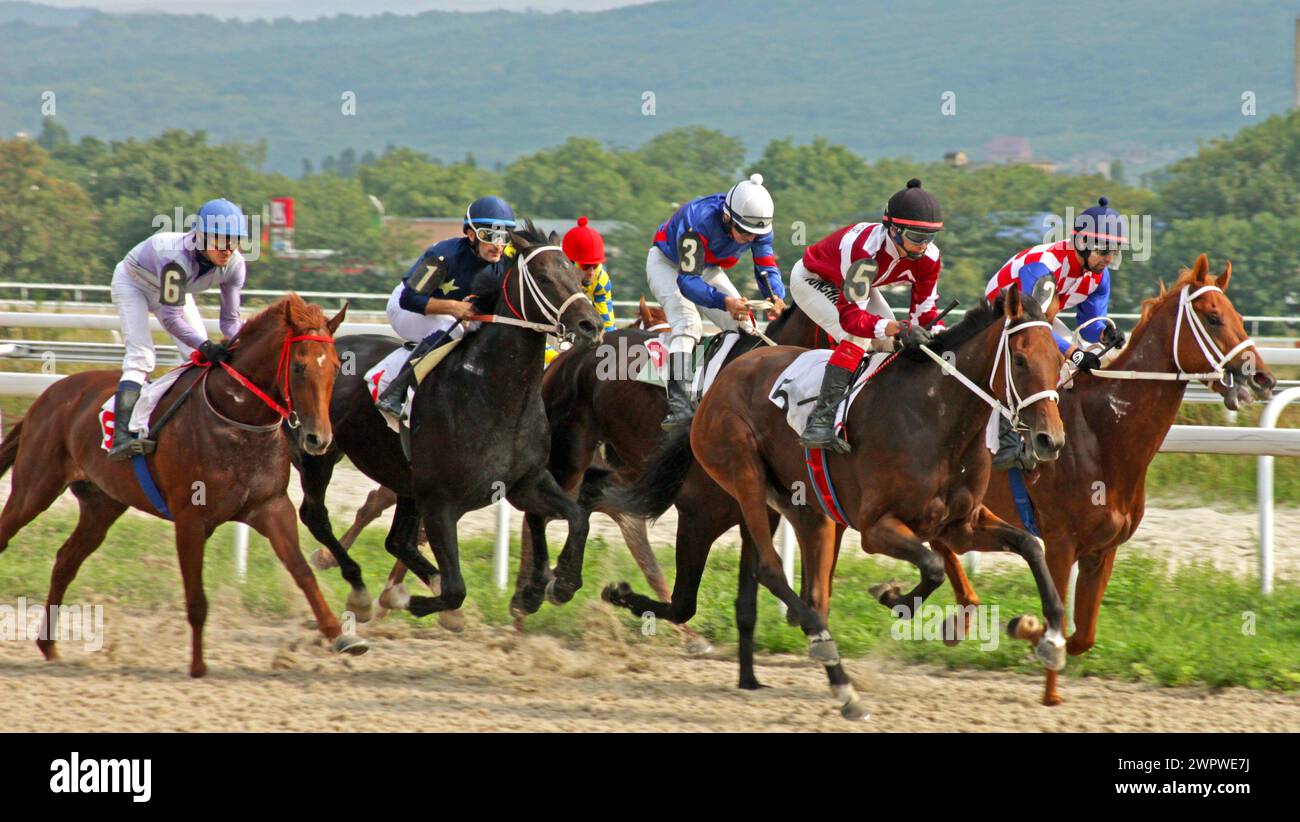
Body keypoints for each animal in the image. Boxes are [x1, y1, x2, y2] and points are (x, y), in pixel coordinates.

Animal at [0, 293, 361, 676]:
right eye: (298, 367)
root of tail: (48, 396)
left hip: (102, 505)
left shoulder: (271, 506)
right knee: (10, 531)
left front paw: (341, 635)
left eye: (335, 366)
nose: (318, 438)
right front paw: (198, 665)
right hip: (35, 487)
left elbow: (303, 571)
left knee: (66, 560)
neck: (236, 420)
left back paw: (49, 646)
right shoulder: (190, 519)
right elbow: (196, 598)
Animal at [600, 290, 1066, 717]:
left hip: (806, 510)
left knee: (792, 592)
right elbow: (933, 566)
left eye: (1060, 361)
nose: (1050, 440)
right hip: (740, 475)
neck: (937, 417)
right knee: (768, 573)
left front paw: (1052, 640)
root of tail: (722, 378)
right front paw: (894, 597)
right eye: (1020, 360)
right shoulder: (877, 528)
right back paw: (833, 668)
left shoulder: (959, 524)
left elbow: (1030, 545)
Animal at [930, 258, 1274, 707]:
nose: (1262, 379)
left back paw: (962, 615)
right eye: (1214, 318)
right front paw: (1044, 676)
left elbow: (1083, 635)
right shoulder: (1059, 543)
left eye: (1237, 316)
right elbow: (1059, 619)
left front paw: (1038, 652)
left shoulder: (1103, 549)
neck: (1104, 430)